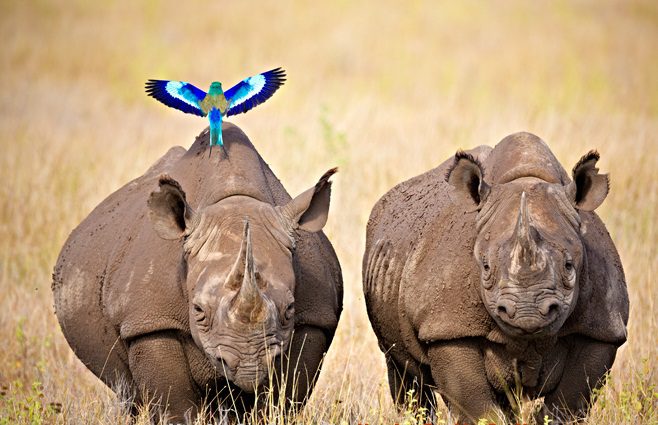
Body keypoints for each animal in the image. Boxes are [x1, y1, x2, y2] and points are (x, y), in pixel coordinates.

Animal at [52, 123, 343, 421]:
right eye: (198, 310)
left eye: (289, 309)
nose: (248, 364)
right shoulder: (150, 322)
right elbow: (173, 405)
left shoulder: (314, 317)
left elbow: (283, 399)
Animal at [363, 132, 628, 423]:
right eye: (486, 267)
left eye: (569, 266)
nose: (527, 314)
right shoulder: (447, 328)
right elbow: (481, 411)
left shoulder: (602, 329)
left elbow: (565, 408)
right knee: (404, 372)